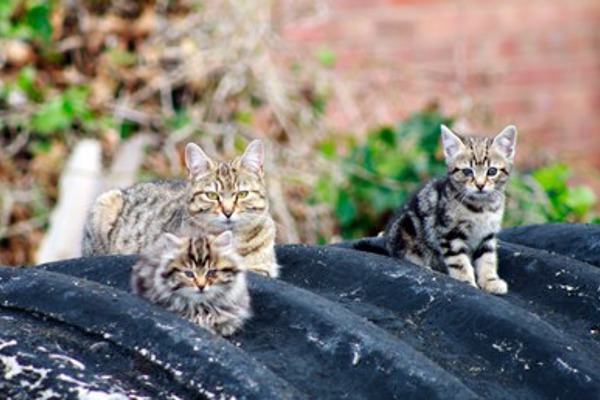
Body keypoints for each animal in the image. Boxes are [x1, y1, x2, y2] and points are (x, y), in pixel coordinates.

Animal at [386, 123, 516, 296]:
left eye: (492, 171)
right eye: (467, 171)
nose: (480, 185)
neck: (482, 207)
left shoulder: (487, 236)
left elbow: (487, 259)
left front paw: (490, 281)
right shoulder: (449, 233)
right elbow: (459, 262)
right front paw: (467, 283)